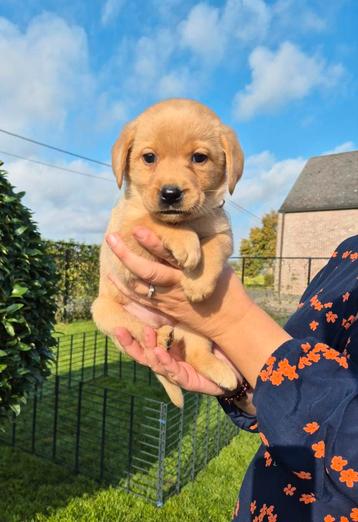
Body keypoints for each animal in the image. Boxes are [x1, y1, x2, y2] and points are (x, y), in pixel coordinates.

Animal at [91, 98, 245, 406]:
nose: (171, 194)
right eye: (149, 158)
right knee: (143, 335)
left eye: (199, 158)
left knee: (197, 354)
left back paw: (220, 371)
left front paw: (198, 282)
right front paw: (186, 242)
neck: (188, 220)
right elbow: (152, 220)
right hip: (103, 311)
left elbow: (213, 247)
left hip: (197, 326)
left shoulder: (223, 232)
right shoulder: (123, 236)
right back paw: (160, 338)